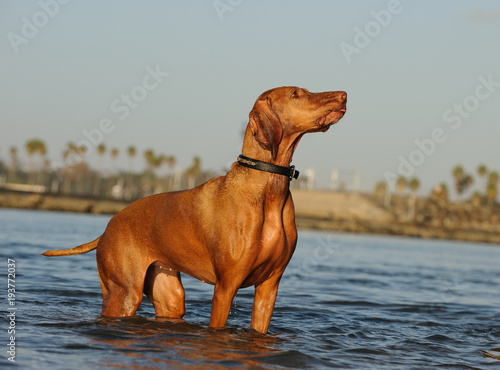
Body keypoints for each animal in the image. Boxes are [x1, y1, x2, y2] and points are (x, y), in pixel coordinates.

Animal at [43, 87, 348, 336]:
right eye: (296, 94)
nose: (344, 95)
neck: (268, 188)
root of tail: (107, 227)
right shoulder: (226, 286)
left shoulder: (269, 286)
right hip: (124, 292)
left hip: (169, 293)